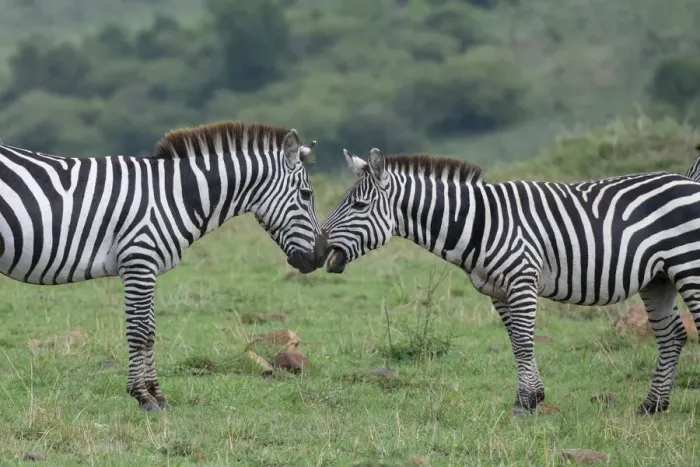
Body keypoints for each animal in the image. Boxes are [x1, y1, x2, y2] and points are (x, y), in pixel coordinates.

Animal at [0, 121, 325, 411]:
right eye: (306, 194)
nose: (322, 255)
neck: (175, 196)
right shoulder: (139, 261)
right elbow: (140, 332)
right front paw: (144, 398)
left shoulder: (145, 268)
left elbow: (150, 332)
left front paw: (157, 394)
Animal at [320, 147, 700, 416]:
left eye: (359, 205)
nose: (319, 246)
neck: (481, 223)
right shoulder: (497, 291)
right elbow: (516, 342)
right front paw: (530, 398)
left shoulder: (522, 280)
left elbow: (524, 342)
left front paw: (527, 402)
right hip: (659, 278)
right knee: (672, 335)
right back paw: (652, 406)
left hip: (689, 265)